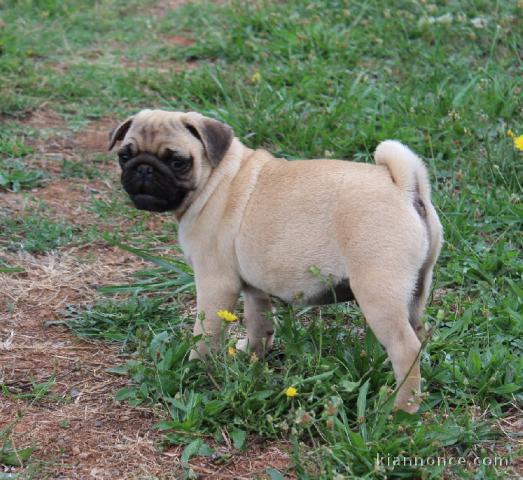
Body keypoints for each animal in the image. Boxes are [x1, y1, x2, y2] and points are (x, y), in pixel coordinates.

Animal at [109, 109, 442, 412]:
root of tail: (403, 187)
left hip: (376, 292)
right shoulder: (253, 288)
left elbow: (206, 333)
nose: (143, 169)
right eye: (125, 156)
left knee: (405, 347)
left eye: (177, 161)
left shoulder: (215, 283)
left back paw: (400, 409)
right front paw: (253, 356)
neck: (216, 178)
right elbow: (259, 324)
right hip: (416, 289)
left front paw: (194, 368)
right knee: (419, 332)